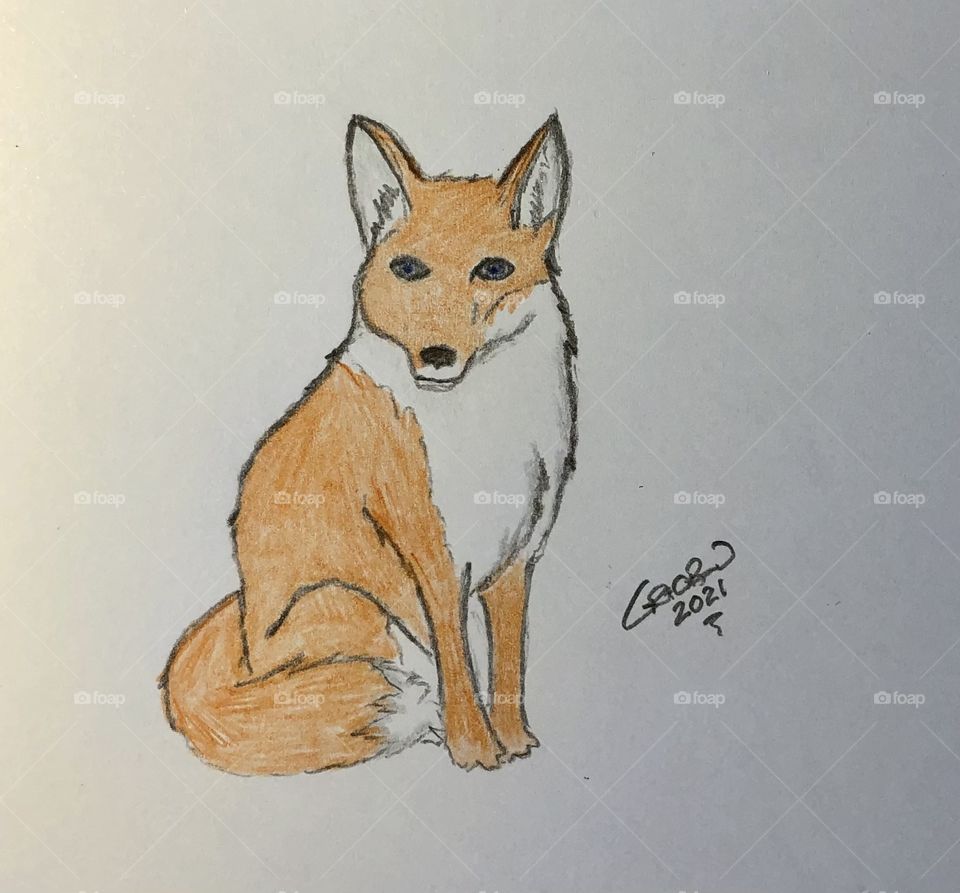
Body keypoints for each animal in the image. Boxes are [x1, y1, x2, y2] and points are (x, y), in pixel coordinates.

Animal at [160, 113, 577, 773]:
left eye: (492, 269)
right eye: (407, 269)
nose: (436, 355)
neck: (488, 425)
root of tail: (244, 636)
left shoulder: (517, 560)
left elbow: (507, 669)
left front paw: (513, 743)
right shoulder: (432, 556)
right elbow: (459, 663)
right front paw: (474, 750)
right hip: (356, 607)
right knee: (401, 678)